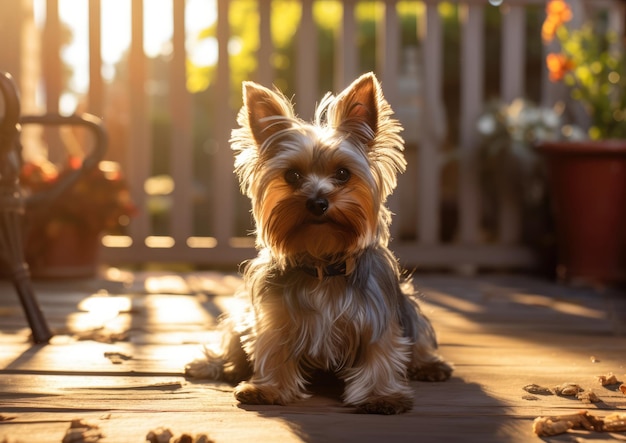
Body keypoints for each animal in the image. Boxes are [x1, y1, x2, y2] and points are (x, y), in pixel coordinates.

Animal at [184, 71, 448, 414]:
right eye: (293, 175)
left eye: (343, 173)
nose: (318, 202)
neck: (323, 261)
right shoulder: (273, 315)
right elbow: (272, 347)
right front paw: (268, 389)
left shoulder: (376, 316)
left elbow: (380, 352)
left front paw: (381, 396)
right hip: (241, 314)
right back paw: (215, 365)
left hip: (408, 307)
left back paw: (428, 365)